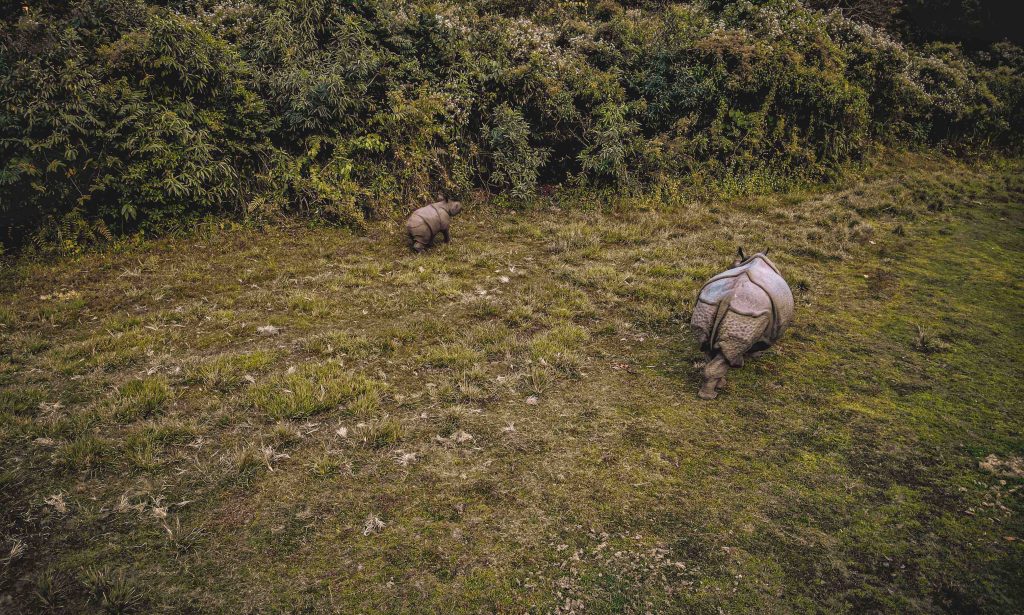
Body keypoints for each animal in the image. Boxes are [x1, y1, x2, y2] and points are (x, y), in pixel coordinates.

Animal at [692, 248, 794, 399]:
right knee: (726, 352)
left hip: (708, 304)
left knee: (706, 346)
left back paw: (714, 389)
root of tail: (727, 297)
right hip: (746, 314)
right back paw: (712, 395)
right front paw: (753, 357)